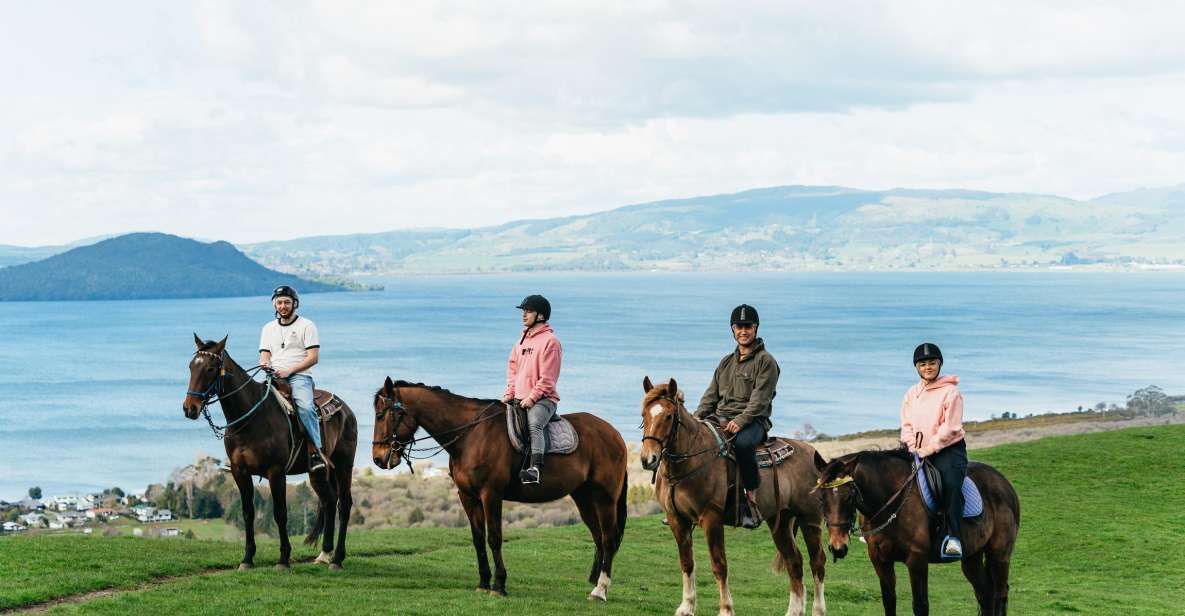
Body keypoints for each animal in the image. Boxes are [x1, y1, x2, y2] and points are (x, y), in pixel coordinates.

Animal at [180, 336, 355, 573]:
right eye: (191, 367)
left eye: (210, 368)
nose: (190, 408)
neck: (250, 420)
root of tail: (345, 409)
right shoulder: (239, 472)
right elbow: (248, 512)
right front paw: (247, 558)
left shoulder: (276, 472)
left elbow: (280, 513)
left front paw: (283, 559)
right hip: (318, 473)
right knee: (329, 501)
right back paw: (325, 554)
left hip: (344, 465)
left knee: (343, 504)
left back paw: (337, 559)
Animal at [369, 376, 630, 599]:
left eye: (382, 415)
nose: (378, 459)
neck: (470, 434)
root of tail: (615, 434)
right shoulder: (468, 497)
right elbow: (477, 539)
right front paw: (483, 583)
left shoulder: (490, 494)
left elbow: (494, 537)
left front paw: (499, 585)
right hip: (583, 497)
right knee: (598, 536)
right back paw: (595, 581)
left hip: (605, 498)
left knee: (608, 538)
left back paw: (600, 590)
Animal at [644, 374, 829, 616]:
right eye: (644, 414)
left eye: (668, 416)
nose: (648, 458)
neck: (690, 462)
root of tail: (813, 455)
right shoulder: (677, 520)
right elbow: (687, 563)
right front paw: (686, 606)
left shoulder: (711, 519)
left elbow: (719, 565)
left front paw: (726, 609)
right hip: (780, 522)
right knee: (794, 562)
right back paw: (793, 611)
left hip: (810, 520)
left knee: (817, 562)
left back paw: (818, 609)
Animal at [815, 447, 1019, 616]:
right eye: (821, 498)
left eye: (850, 497)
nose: (838, 547)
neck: (893, 501)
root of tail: (1004, 484)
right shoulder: (880, 560)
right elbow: (889, 602)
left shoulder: (917, 560)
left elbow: (921, 606)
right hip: (971, 558)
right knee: (986, 594)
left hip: (999, 556)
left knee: (1000, 594)